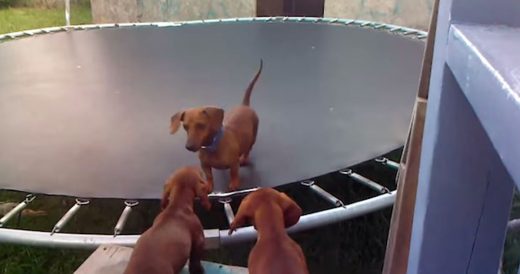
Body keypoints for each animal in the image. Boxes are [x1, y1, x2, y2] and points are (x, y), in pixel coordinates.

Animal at [169, 60, 262, 193]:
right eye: (185, 126)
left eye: (201, 125)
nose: (189, 147)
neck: (212, 146)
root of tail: (244, 105)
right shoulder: (205, 165)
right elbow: (209, 176)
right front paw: (208, 185)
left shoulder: (234, 163)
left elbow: (234, 173)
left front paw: (234, 183)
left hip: (253, 137)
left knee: (248, 149)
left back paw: (244, 158)